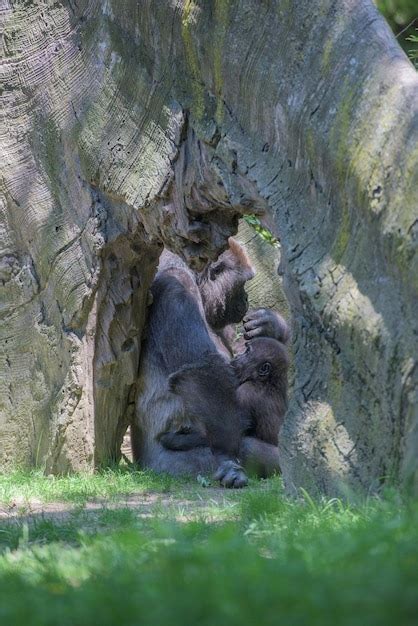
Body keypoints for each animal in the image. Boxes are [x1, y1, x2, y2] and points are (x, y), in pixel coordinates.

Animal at [158, 336, 290, 472]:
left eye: (247, 351)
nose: (237, 356)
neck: (267, 381)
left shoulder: (245, 394)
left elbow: (232, 429)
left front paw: (174, 439)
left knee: (246, 445)